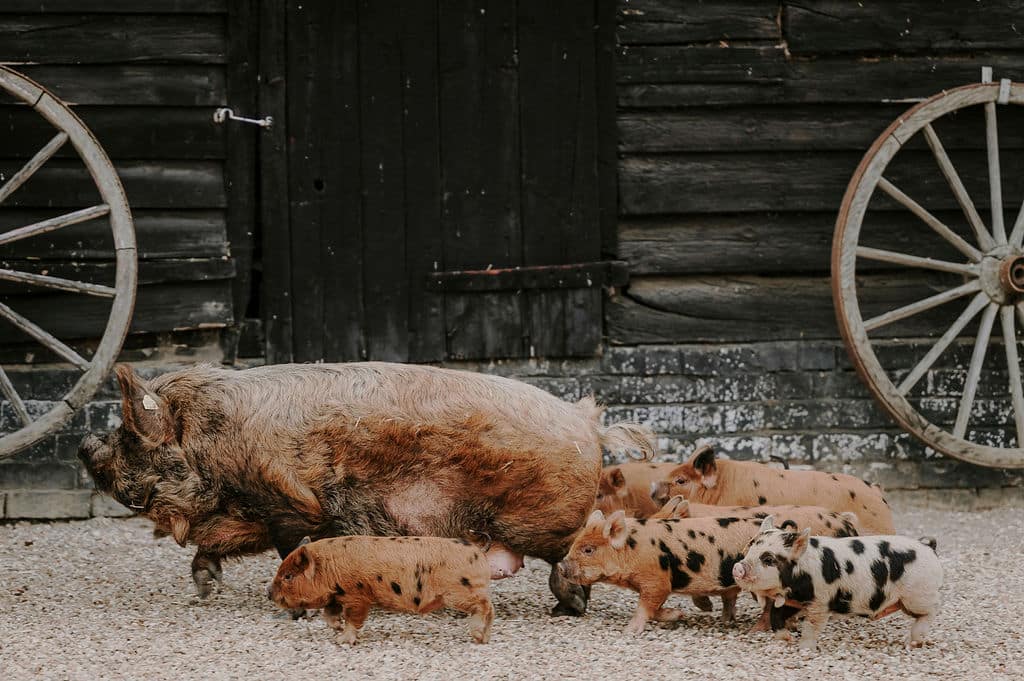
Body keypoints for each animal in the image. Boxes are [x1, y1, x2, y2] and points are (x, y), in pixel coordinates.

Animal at [78, 362, 655, 616]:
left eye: (128, 435)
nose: (84, 443)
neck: (210, 446)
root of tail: (589, 422)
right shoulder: (258, 517)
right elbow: (215, 545)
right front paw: (205, 589)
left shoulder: (289, 507)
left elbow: (290, 550)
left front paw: (297, 608)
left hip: (543, 521)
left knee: (575, 553)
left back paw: (568, 609)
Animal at [269, 535, 493, 644]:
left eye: (288, 576)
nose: (268, 592)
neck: (329, 569)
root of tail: (479, 552)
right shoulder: (336, 597)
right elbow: (329, 615)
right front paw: (337, 629)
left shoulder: (356, 596)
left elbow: (353, 619)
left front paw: (341, 641)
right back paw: (484, 639)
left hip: (459, 592)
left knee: (486, 605)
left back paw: (478, 636)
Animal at [732, 516, 942, 650]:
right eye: (750, 547)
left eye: (768, 559)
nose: (737, 567)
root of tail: (928, 547)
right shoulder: (793, 601)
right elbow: (776, 617)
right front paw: (786, 640)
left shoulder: (820, 602)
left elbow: (811, 627)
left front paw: (804, 649)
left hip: (917, 596)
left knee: (931, 611)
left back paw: (913, 643)